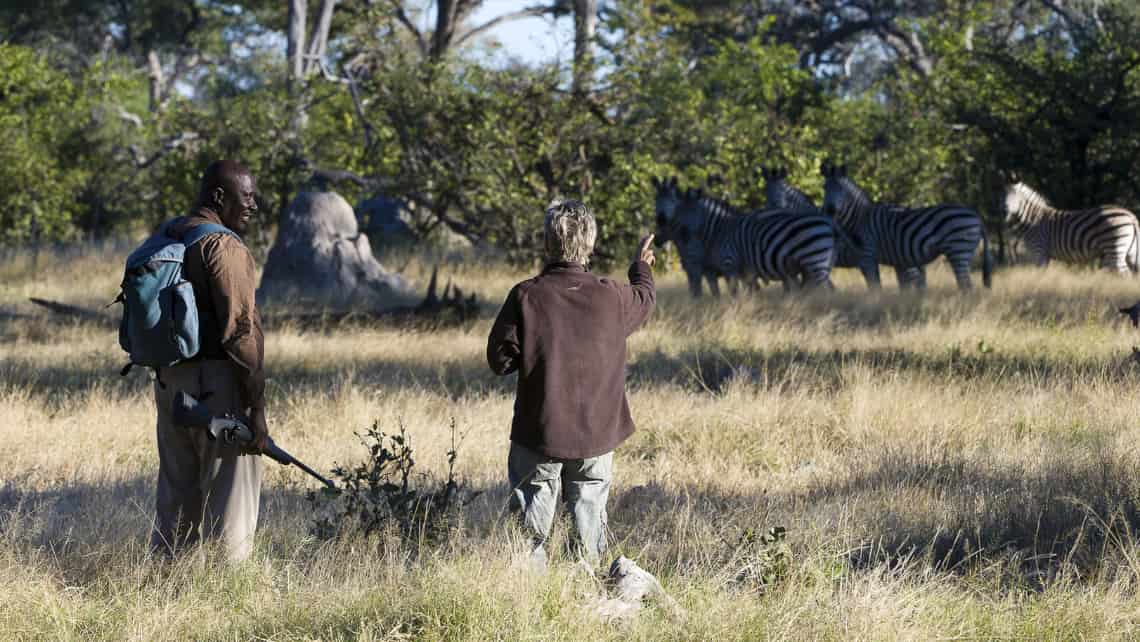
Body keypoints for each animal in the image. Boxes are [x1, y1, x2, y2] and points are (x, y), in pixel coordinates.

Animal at [665, 187, 843, 294]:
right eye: (678, 213)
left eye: (685, 212)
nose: (682, 234)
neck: (720, 230)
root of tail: (830, 224)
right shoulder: (745, 271)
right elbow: (749, 293)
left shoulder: (730, 264)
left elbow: (734, 293)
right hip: (821, 263)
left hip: (815, 260)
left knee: (825, 289)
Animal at [820, 161, 989, 289]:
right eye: (824, 187)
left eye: (841, 189)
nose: (829, 210)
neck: (861, 218)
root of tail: (977, 216)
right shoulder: (892, 261)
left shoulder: (868, 257)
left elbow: (875, 288)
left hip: (958, 250)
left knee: (966, 286)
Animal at [1003, 181, 1135, 273]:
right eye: (1002, 199)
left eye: (1015, 199)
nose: (1004, 211)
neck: (1032, 220)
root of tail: (1131, 216)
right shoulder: (1045, 255)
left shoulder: (1039, 251)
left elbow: (1040, 275)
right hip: (1128, 251)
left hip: (1114, 249)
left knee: (1125, 274)